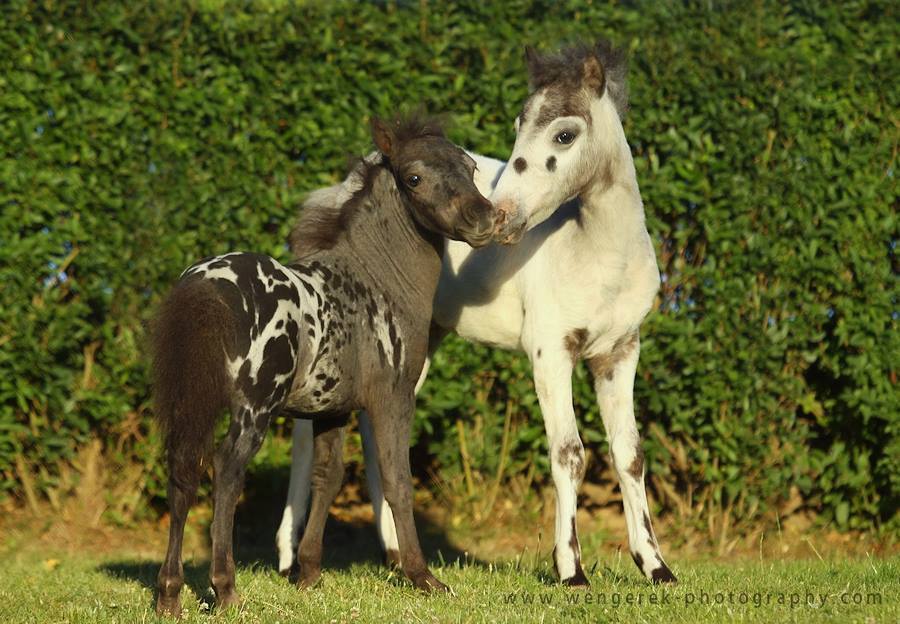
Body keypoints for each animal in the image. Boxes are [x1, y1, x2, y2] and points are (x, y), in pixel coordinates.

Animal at [278, 40, 680, 584]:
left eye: (565, 133)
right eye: (517, 123)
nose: (502, 215)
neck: (599, 257)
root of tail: (339, 189)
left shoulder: (619, 352)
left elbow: (630, 454)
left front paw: (655, 566)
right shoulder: (550, 354)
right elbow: (568, 453)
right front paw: (571, 570)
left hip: (419, 341)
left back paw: (394, 554)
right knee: (306, 434)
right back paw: (286, 557)